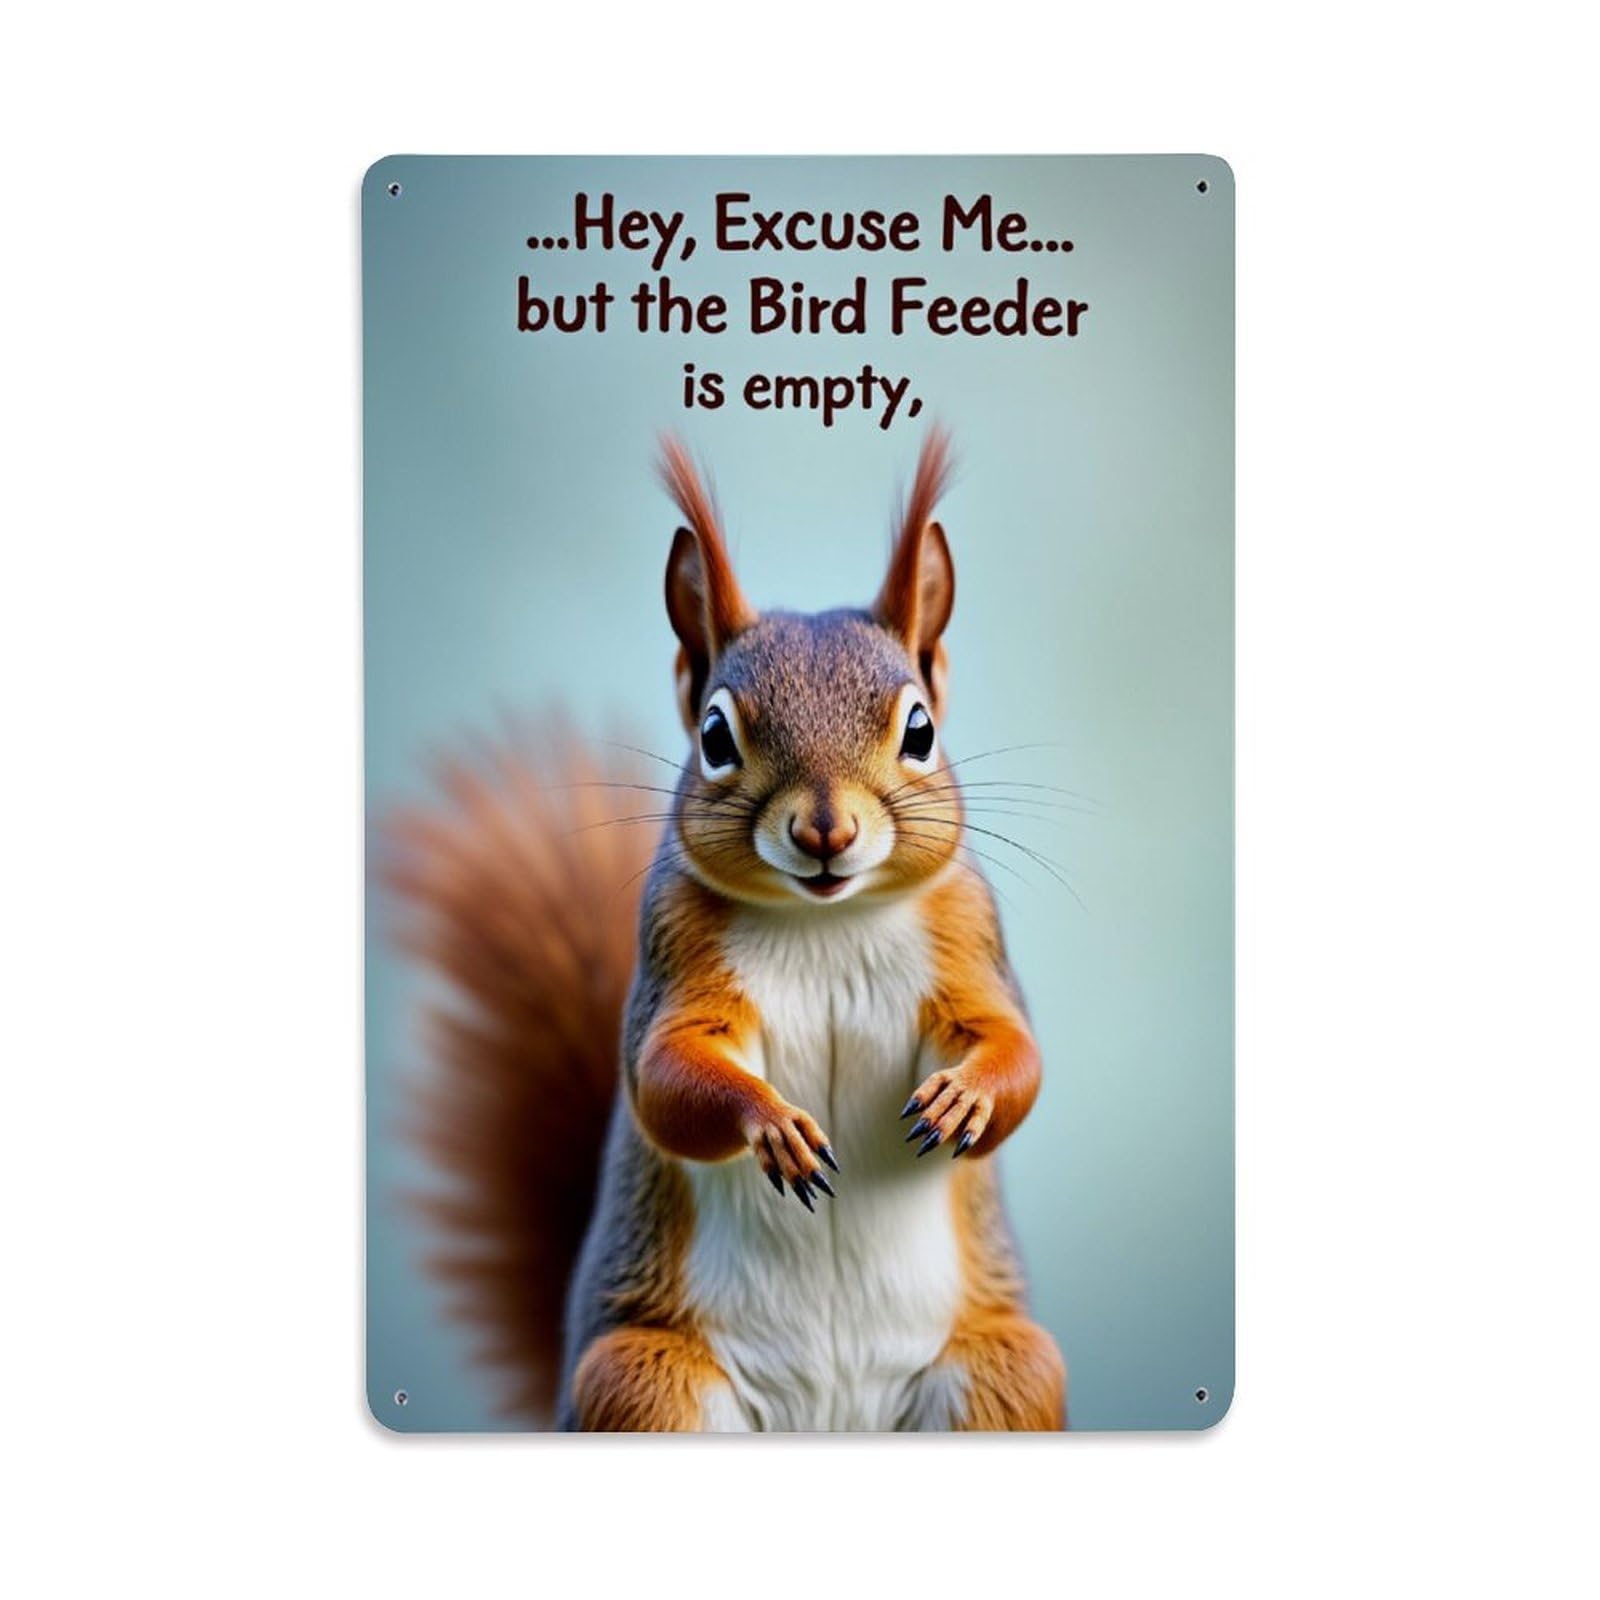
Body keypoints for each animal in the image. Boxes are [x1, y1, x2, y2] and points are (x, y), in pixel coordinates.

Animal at [384, 430, 1066, 1431]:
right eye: (713, 736)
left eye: (920, 731)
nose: (827, 831)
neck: (828, 922)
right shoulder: (676, 956)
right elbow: (666, 1077)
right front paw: (770, 1123)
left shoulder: (970, 942)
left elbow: (1014, 1051)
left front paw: (966, 1100)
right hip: (644, 1383)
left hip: (1002, 1376)